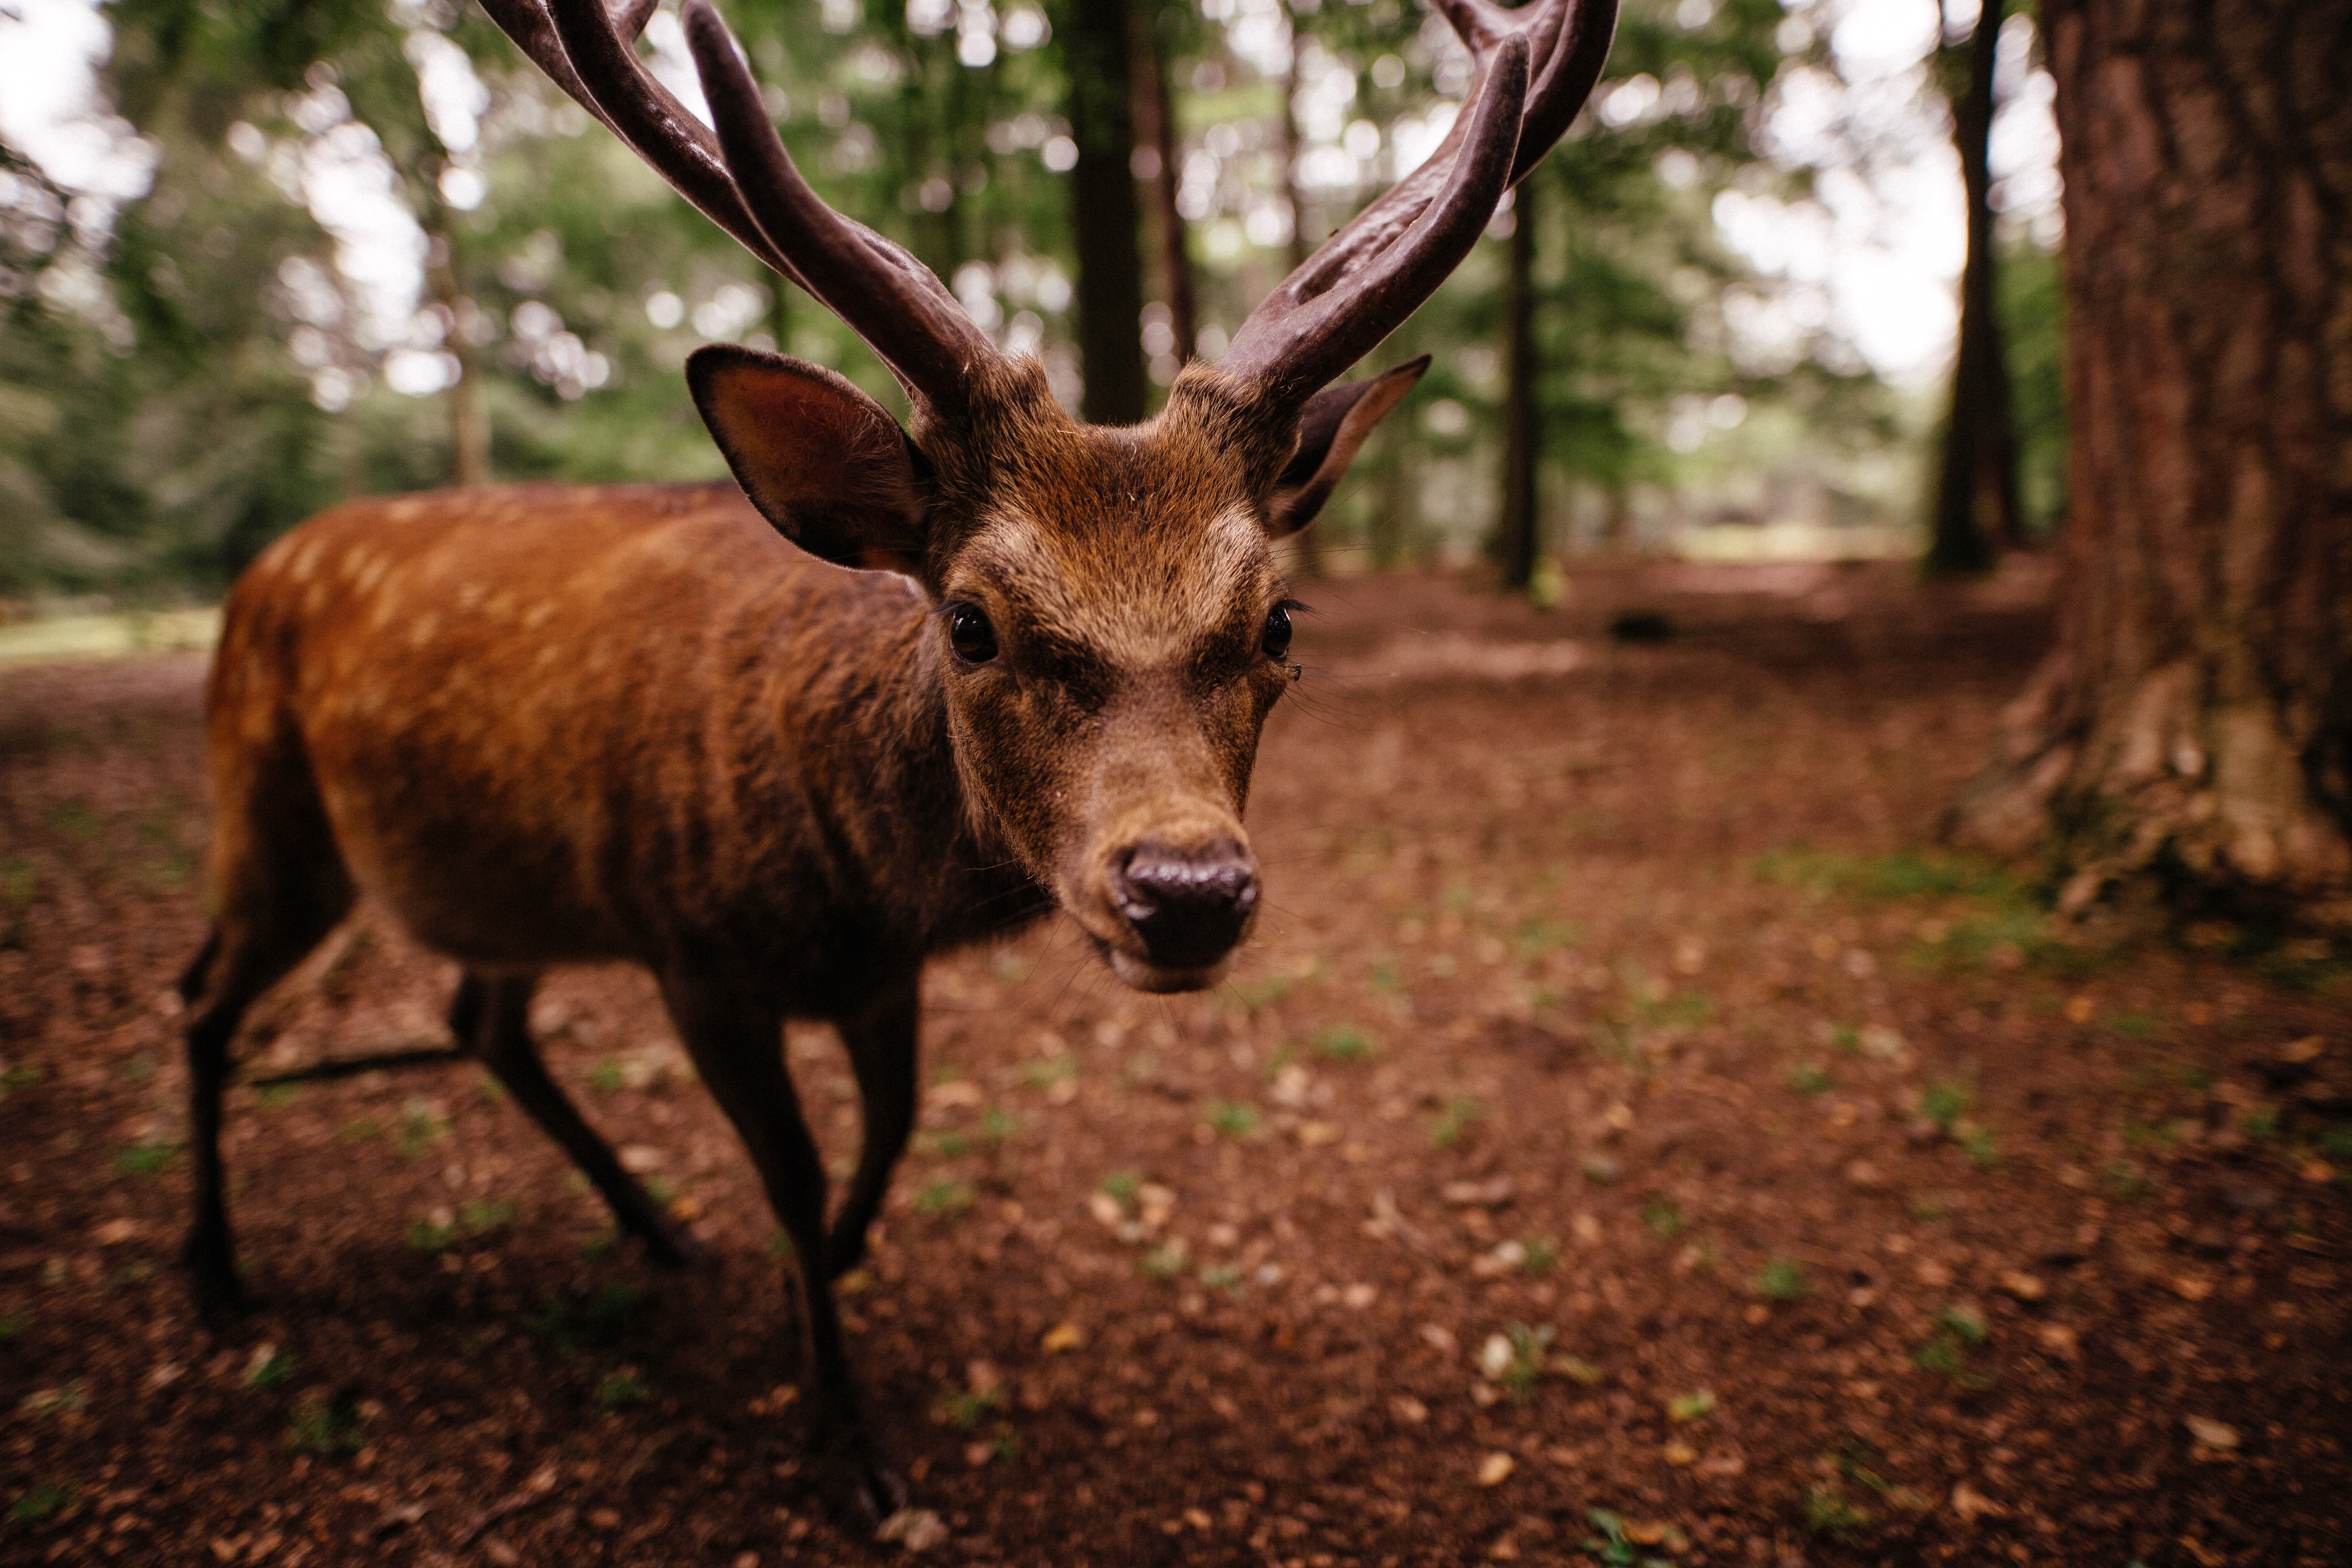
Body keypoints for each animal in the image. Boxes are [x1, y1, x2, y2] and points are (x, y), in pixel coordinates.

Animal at [178, 0, 1618, 1523]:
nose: (1185, 890)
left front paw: (825, 1286)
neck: (844, 889)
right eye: (971, 620)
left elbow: (892, 1134)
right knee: (207, 996)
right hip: (268, 815)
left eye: (1280, 619)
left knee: (478, 1017)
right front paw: (846, 1437)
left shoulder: (879, 977)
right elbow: (800, 1176)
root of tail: (258, 571)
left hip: (492, 881)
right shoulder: (692, 955)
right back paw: (215, 1270)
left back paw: (657, 1231)